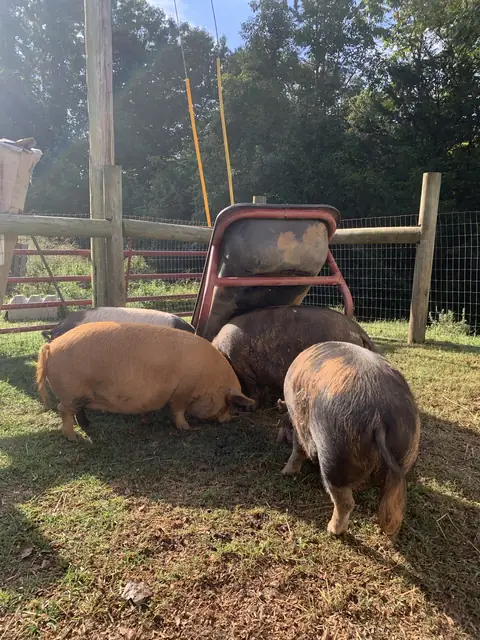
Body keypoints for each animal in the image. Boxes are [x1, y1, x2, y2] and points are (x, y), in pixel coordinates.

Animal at [36, 322, 254, 441]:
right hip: (72, 392)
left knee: (77, 411)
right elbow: (178, 410)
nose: (228, 420)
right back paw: (74, 438)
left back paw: (89, 426)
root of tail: (50, 346)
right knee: (63, 409)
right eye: (227, 403)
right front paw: (185, 428)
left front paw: (145, 420)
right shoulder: (182, 391)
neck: (208, 379)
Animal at [281, 341, 420, 537]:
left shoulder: (299, 425)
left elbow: (297, 448)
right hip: (404, 453)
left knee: (345, 501)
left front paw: (285, 472)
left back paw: (332, 530)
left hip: (335, 450)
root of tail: (379, 413)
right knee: (391, 499)